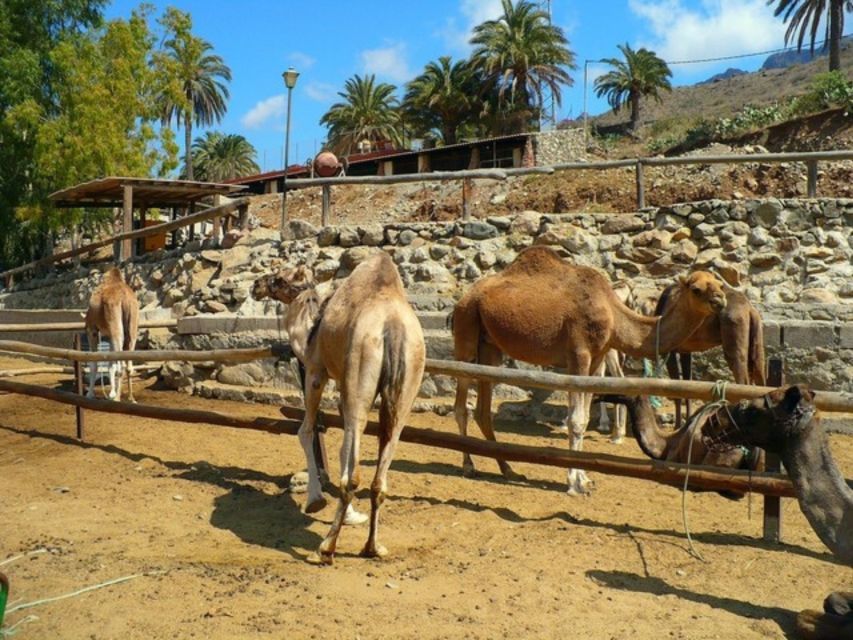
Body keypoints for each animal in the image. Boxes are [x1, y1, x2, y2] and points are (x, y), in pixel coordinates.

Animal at [83, 264, 138, 400]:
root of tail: (126, 299)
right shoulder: (109, 335)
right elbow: (110, 363)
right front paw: (111, 393)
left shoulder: (92, 330)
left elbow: (94, 363)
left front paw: (90, 394)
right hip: (132, 330)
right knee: (129, 365)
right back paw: (131, 398)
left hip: (116, 329)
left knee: (121, 365)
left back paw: (117, 398)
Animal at [253, 252, 426, 564]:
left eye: (280, 278)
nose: (257, 285)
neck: (310, 330)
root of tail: (393, 327)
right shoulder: (345, 386)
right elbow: (345, 448)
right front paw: (351, 516)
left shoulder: (316, 371)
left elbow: (306, 430)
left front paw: (315, 500)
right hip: (407, 386)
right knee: (379, 479)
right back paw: (373, 547)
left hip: (360, 368)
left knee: (353, 478)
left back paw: (326, 548)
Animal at [450, 245, 724, 496]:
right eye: (696, 289)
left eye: (719, 284)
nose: (720, 301)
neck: (613, 313)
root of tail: (463, 298)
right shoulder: (578, 355)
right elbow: (577, 419)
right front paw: (573, 483)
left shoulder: (597, 358)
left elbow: (583, 415)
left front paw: (584, 478)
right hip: (466, 331)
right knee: (461, 405)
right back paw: (468, 465)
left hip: (490, 348)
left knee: (483, 410)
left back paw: (507, 469)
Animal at [656, 282, 768, 424]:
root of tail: (749, 309)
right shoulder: (685, 351)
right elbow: (687, 386)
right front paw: (687, 422)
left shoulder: (669, 351)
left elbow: (676, 391)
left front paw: (677, 426)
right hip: (757, 336)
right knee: (760, 378)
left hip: (734, 327)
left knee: (742, 380)